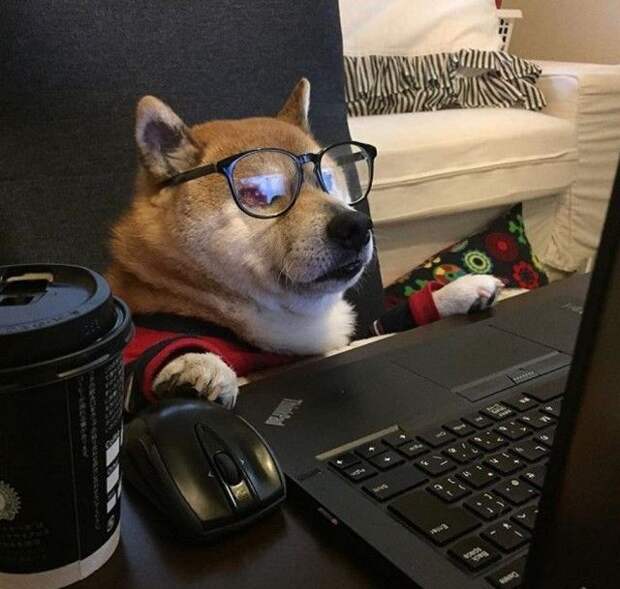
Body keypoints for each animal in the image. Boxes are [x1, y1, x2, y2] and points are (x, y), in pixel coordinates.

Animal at [107, 79, 501, 410]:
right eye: (260, 193)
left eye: (327, 178)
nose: (356, 226)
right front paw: (194, 363)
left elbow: (382, 325)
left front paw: (456, 292)